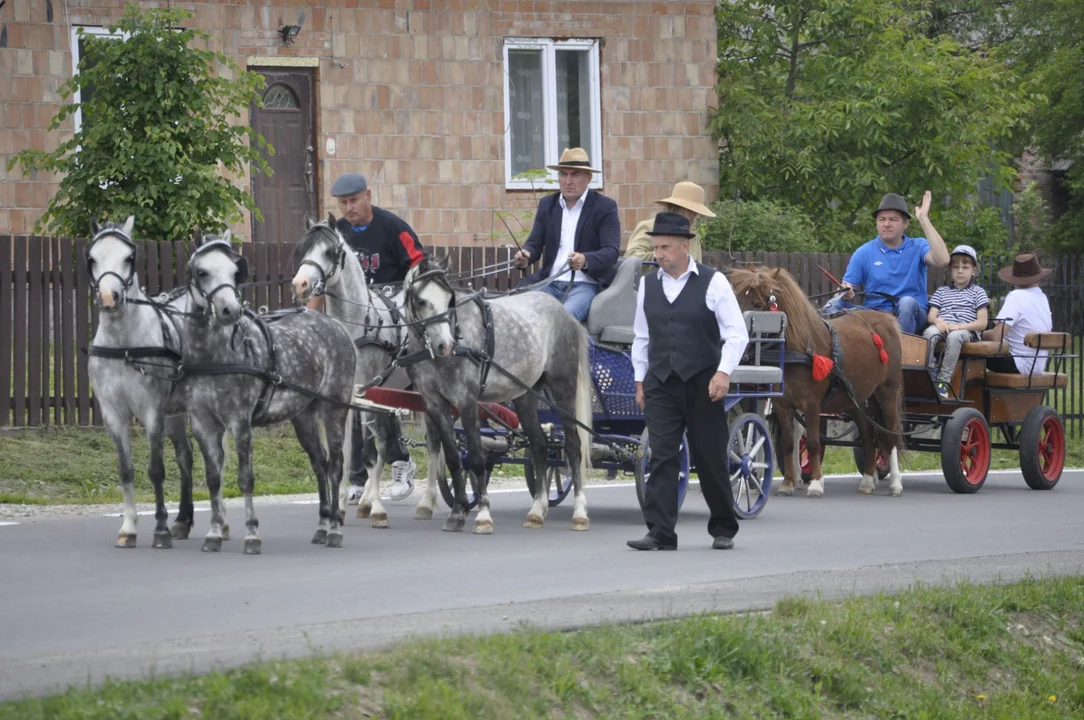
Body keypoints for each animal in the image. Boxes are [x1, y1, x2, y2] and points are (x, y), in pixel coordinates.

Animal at [179, 233, 357, 553]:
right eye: (201, 272)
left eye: (234, 271)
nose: (230, 311)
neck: (213, 356)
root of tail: (337, 327)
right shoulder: (202, 424)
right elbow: (213, 479)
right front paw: (214, 533)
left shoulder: (239, 423)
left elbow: (245, 478)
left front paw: (251, 534)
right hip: (303, 416)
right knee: (320, 463)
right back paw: (322, 526)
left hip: (334, 410)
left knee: (336, 466)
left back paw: (335, 529)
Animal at [290, 216, 446, 526]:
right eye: (303, 249)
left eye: (329, 252)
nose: (300, 284)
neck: (357, 325)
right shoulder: (347, 396)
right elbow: (345, 450)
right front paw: (341, 505)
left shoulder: (366, 391)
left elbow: (368, 452)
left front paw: (377, 509)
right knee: (387, 439)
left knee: (434, 441)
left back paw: (429, 501)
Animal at [401, 254, 594, 533]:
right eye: (420, 300)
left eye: (449, 300)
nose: (445, 345)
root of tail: (564, 311)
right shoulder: (434, 405)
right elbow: (452, 457)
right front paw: (458, 512)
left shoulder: (467, 402)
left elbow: (477, 457)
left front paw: (482, 515)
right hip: (525, 395)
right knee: (540, 447)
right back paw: (537, 510)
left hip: (563, 388)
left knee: (573, 446)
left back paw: (579, 512)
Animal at [728, 266, 906, 498]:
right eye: (736, 299)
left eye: (757, 304)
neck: (799, 348)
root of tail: (886, 320)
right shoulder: (782, 404)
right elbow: (787, 442)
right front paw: (787, 483)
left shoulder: (812, 404)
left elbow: (813, 442)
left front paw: (815, 483)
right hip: (856, 398)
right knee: (868, 435)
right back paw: (868, 480)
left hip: (887, 392)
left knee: (891, 435)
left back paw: (895, 483)